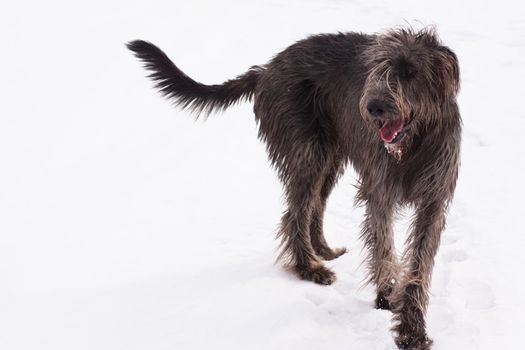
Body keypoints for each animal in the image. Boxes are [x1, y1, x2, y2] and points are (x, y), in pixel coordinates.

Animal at [129, 28, 460, 350]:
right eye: (377, 69)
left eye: (410, 72)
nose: (373, 107)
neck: (414, 145)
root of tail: (266, 69)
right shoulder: (380, 191)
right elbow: (384, 248)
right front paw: (387, 298)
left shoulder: (433, 201)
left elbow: (420, 264)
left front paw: (412, 329)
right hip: (306, 148)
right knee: (295, 213)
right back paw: (309, 268)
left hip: (330, 155)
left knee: (315, 204)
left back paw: (322, 250)